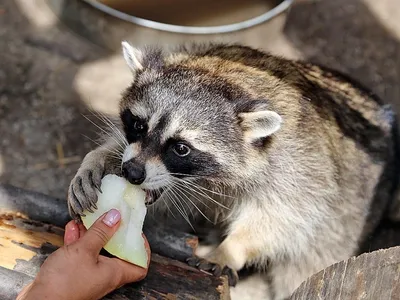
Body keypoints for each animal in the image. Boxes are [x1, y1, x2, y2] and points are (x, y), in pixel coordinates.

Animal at [69, 42, 400, 300]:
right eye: (138, 125)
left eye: (181, 148)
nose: (133, 173)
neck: (220, 74)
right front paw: (99, 158)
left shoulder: (300, 165)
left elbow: (286, 215)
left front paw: (234, 248)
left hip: (343, 228)